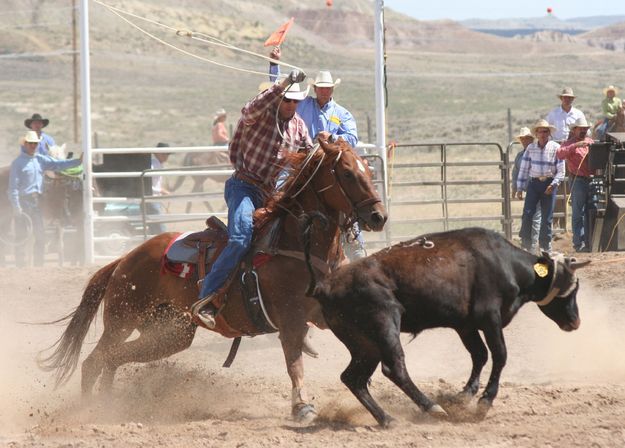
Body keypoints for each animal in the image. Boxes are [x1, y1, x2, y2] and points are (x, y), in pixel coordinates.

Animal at [39, 139, 386, 424]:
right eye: (346, 173)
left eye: (367, 168)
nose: (378, 216)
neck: (296, 244)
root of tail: (124, 259)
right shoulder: (290, 319)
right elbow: (294, 363)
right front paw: (302, 407)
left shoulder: (323, 314)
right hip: (122, 320)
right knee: (94, 362)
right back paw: (90, 411)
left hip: (170, 332)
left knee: (113, 360)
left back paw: (111, 405)